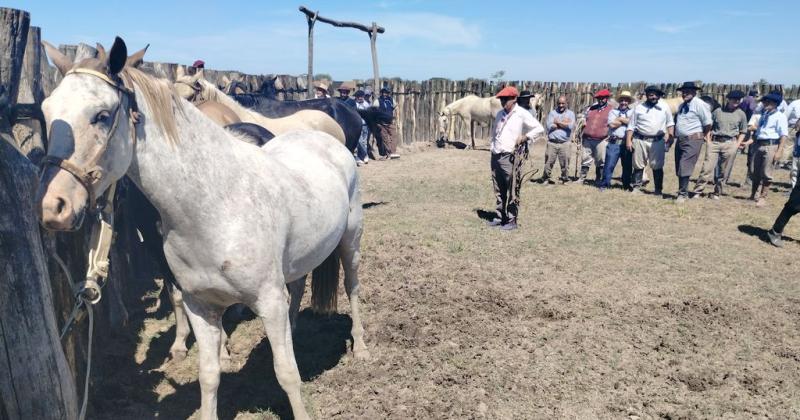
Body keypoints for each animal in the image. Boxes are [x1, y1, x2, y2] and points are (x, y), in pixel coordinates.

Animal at [37, 37, 368, 420]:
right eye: (47, 112)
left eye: (102, 115)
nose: (53, 206)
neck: (216, 205)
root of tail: (328, 139)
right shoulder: (201, 305)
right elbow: (209, 376)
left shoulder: (268, 300)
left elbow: (287, 373)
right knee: (298, 286)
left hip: (350, 243)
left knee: (352, 286)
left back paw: (361, 347)